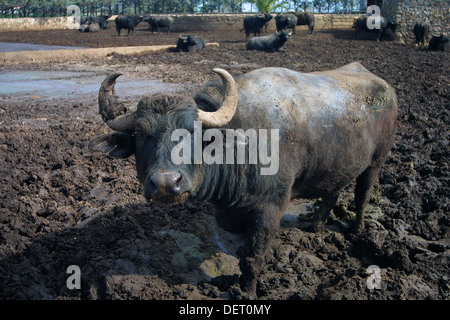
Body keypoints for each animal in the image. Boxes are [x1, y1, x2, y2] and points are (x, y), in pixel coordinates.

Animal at [88, 62, 398, 298]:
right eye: (141, 134)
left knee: (362, 194)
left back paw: (357, 230)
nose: (166, 182)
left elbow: (252, 257)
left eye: (192, 131)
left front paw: (246, 291)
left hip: (377, 161)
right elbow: (239, 253)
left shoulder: (270, 210)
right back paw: (316, 225)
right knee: (332, 192)